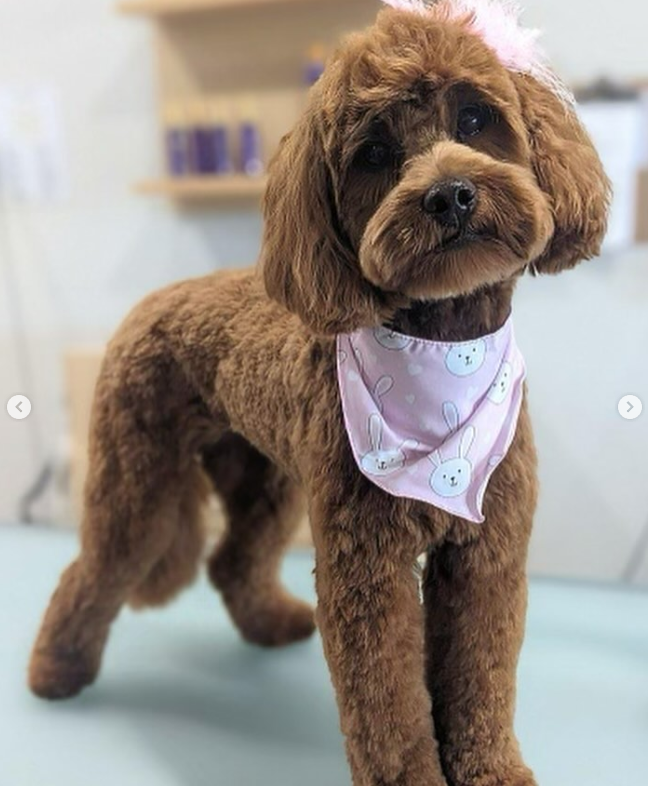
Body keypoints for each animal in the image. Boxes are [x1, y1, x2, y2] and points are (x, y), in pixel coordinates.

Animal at [29, 6, 608, 784]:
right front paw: (415, 777)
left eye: (476, 117)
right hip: (139, 473)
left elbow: (481, 676)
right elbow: (388, 703)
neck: (440, 353)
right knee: (96, 566)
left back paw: (270, 624)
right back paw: (55, 672)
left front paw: (492, 770)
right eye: (374, 153)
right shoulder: (367, 565)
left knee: (232, 559)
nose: (450, 194)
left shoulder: (487, 551)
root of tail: (155, 298)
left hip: (265, 477)